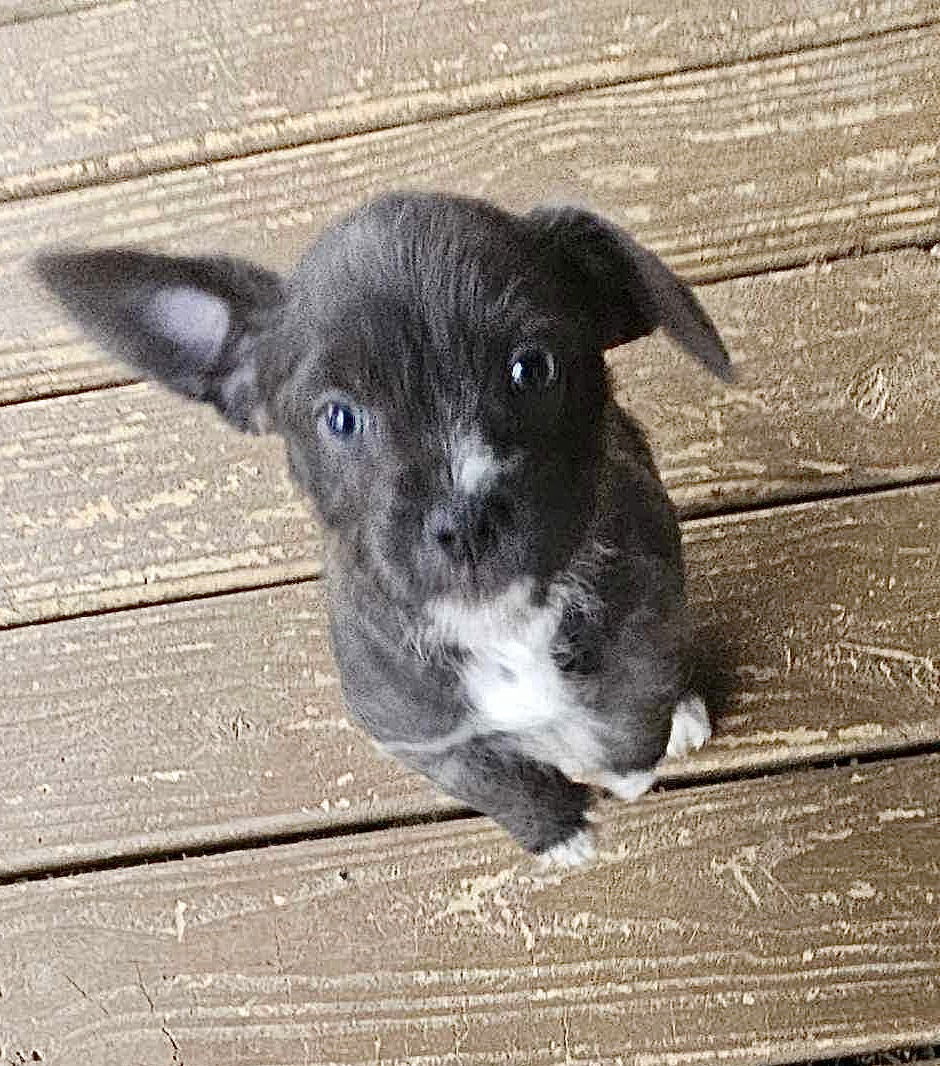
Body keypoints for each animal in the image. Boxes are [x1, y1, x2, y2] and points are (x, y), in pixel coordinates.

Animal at [36, 194, 728, 865]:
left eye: (532, 369)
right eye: (340, 419)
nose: (464, 520)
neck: (499, 624)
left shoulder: (643, 643)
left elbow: (628, 722)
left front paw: (619, 765)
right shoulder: (422, 739)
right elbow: (499, 785)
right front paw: (556, 831)